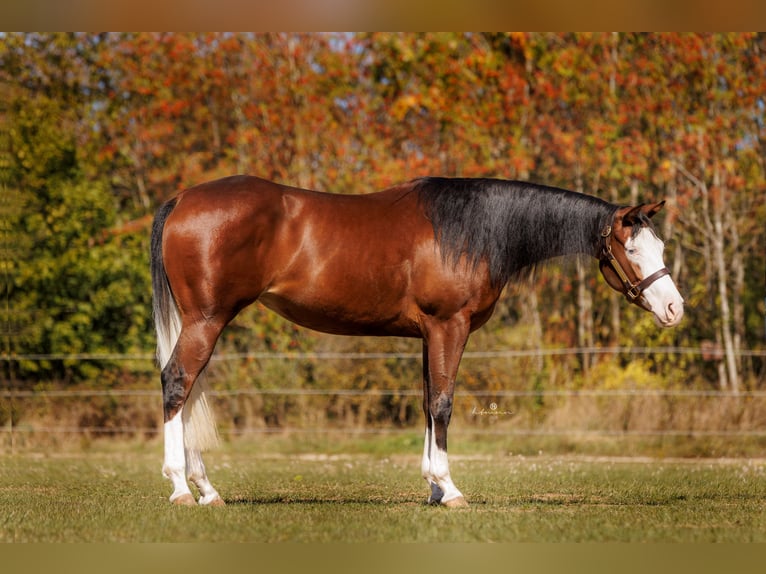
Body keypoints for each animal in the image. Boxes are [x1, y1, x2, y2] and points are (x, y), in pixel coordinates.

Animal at [150, 175, 684, 507]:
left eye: (659, 247)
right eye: (631, 248)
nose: (674, 308)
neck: (471, 231)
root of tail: (183, 198)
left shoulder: (429, 334)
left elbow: (429, 402)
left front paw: (432, 488)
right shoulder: (449, 326)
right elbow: (444, 403)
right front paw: (450, 489)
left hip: (205, 322)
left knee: (189, 390)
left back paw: (207, 489)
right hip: (207, 319)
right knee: (177, 383)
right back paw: (183, 488)